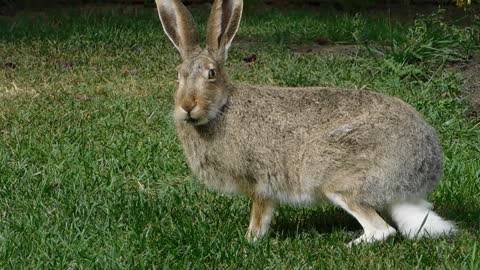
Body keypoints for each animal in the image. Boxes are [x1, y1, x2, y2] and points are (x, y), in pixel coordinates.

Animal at [156, 0, 456, 245]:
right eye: (178, 75)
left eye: (211, 74)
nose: (187, 106)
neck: (222, 108)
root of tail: (420, 169)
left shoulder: (260, 182)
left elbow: (260, 214)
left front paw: (250, 240)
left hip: (337, 178)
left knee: (381, 230)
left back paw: (349, 244)